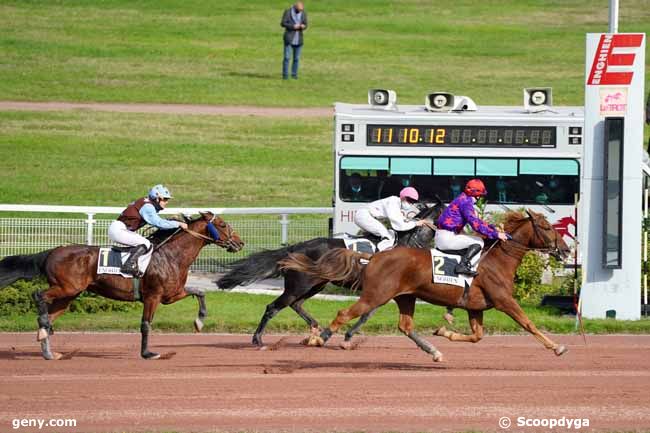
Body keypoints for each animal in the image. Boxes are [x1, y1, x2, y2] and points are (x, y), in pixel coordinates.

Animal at [0, 211, 243, 360]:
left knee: (50, 316)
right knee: (38, 295)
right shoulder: (153, 296)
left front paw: (199, 322)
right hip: (66, 288)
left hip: (68, 295)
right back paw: (43, 329)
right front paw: (148, 354)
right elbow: (146, 325)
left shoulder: (171, 294)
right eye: (222, 224)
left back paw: (48, 348)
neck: (171, 255)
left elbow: (199, 292)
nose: (240, 243)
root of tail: (51, 252)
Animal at [214, 203, 440, 348]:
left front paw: (346, 336)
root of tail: (295, 248)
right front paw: (343, 336)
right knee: (274, 307)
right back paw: (258, 340)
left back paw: (315, 330)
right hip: (299, 285)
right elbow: (366, 314)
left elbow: (366, 315)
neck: (408, 244)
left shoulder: (384, 291)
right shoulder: (382, 290)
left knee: (296, 304)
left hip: (316, 284)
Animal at [278, 209, 568, 362]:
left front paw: (444, 331)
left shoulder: (476, 307)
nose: (565, 250)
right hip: (375, 295)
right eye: (545, 227)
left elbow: (477, 336)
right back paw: (320, 337)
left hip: (404, 297)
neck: (496, 259)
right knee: (344, 313)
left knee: (405, 326)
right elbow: (528, 323)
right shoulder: (504, 300)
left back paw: (434, 351)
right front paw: (557, 346)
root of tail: (375, 256)